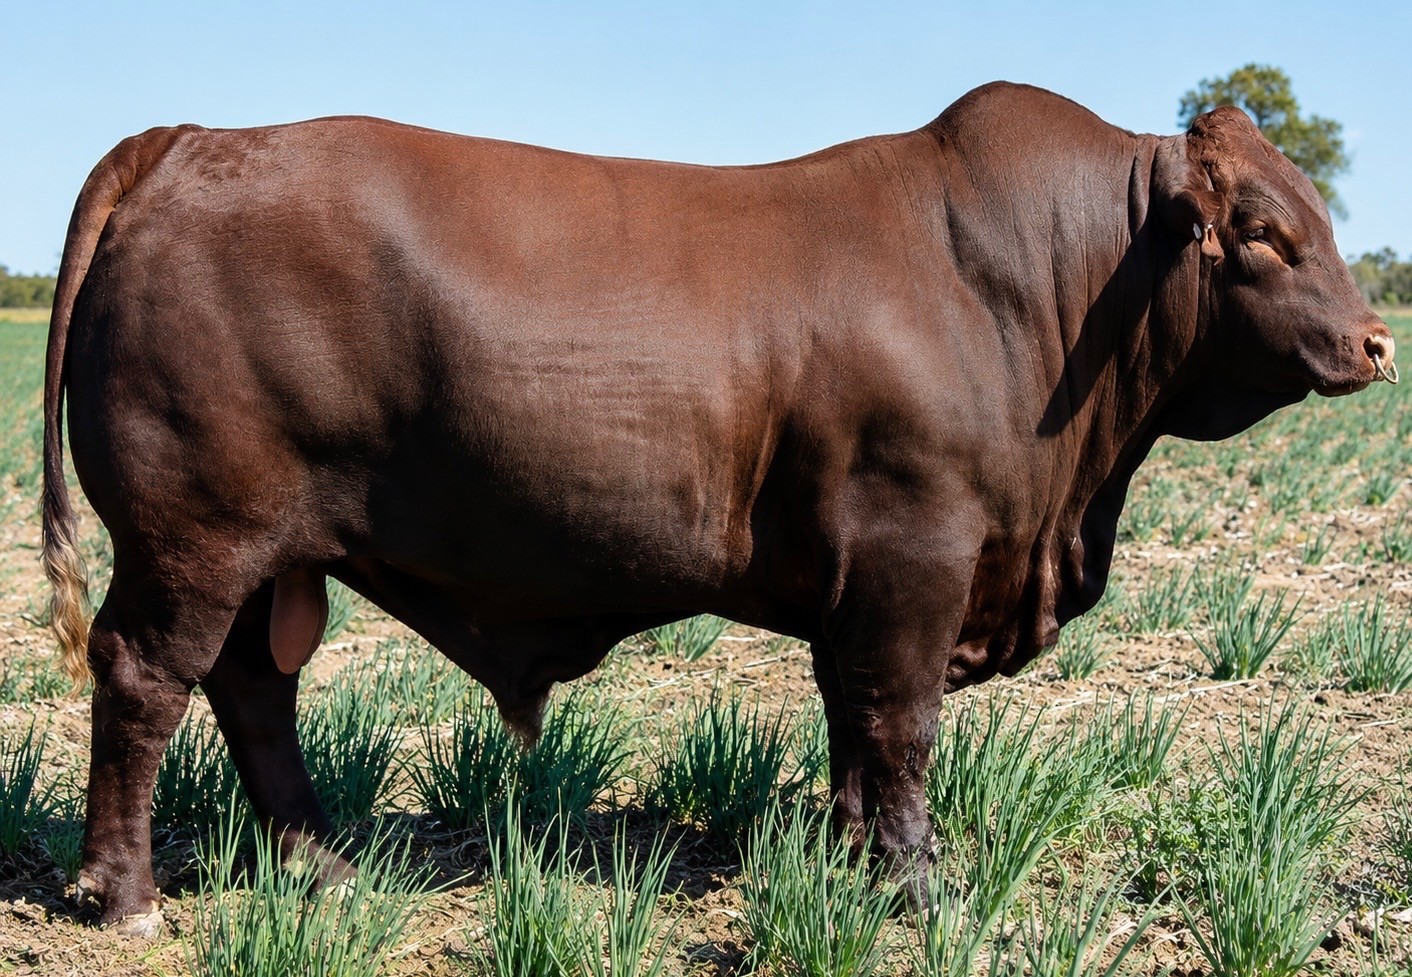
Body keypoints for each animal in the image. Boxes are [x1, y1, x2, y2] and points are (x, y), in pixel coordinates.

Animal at [42, 81, 1396, 934]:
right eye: (1261, 232)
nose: (1376, 342)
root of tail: (188, 138)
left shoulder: (861, 585)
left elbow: (851, 725)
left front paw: (847, 859)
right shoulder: (916, 554)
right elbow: (900, 725)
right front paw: (921, 889)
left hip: (261, 555)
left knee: (250, 691)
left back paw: (322, 863)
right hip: (192, 536)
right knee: (144, 677)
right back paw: (124, 891)